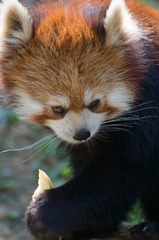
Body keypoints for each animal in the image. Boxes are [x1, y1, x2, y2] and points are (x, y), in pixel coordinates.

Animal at [0, 0, 159, 239]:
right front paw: (93, 227)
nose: (82, 134)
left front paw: (47, 213)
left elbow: (120, 175)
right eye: (57, 109)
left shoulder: (148, 112)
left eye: (95, 103)